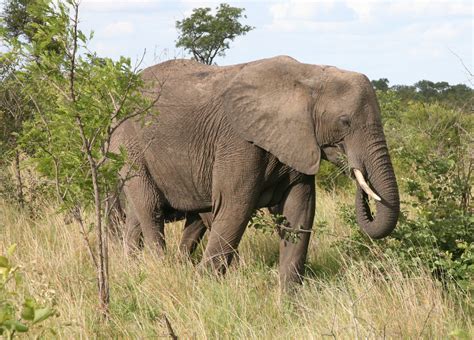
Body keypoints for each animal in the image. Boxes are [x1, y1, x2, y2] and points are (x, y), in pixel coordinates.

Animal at [113, 55, 398, 286]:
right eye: (345, 121)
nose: (357, 171)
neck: (309, 76)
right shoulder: (239, 142)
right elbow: (234, 208)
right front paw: (202, 287)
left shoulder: (295, 143)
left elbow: (300, 211)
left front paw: (288, 302)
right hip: (129, 144)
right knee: (151, 208)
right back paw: (160, 269)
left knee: (147, 216)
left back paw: (136, 267)